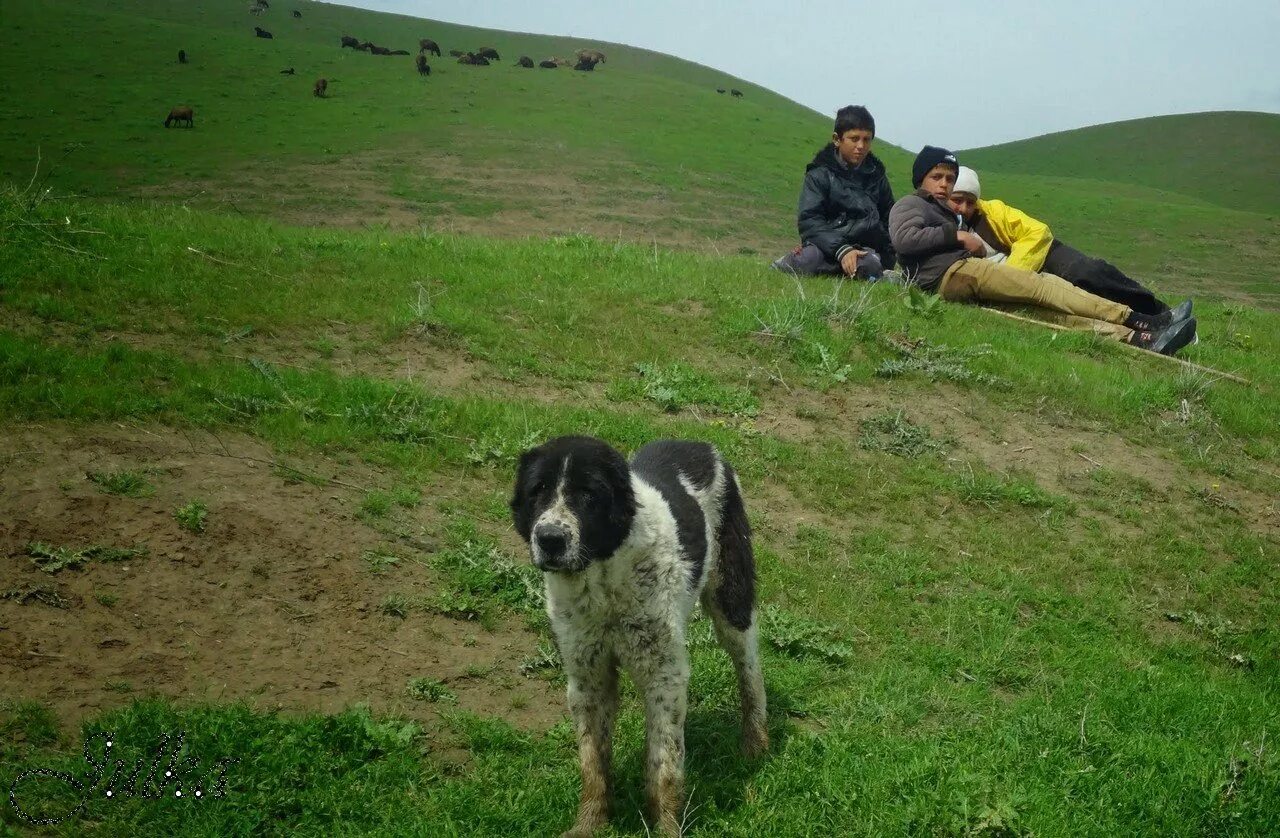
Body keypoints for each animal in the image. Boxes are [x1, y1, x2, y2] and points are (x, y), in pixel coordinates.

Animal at [512, 434, 768, 834]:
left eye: (589, 494)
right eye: (537, 490)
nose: (550, 539)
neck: (604, 576)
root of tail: (700, 445)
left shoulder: (664, 674)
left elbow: (664, 766)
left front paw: (665, 829)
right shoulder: (588, 678)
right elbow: (593, 763)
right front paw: (590, 823)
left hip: (731, 599)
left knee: (750, 669)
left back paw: (755, 743)